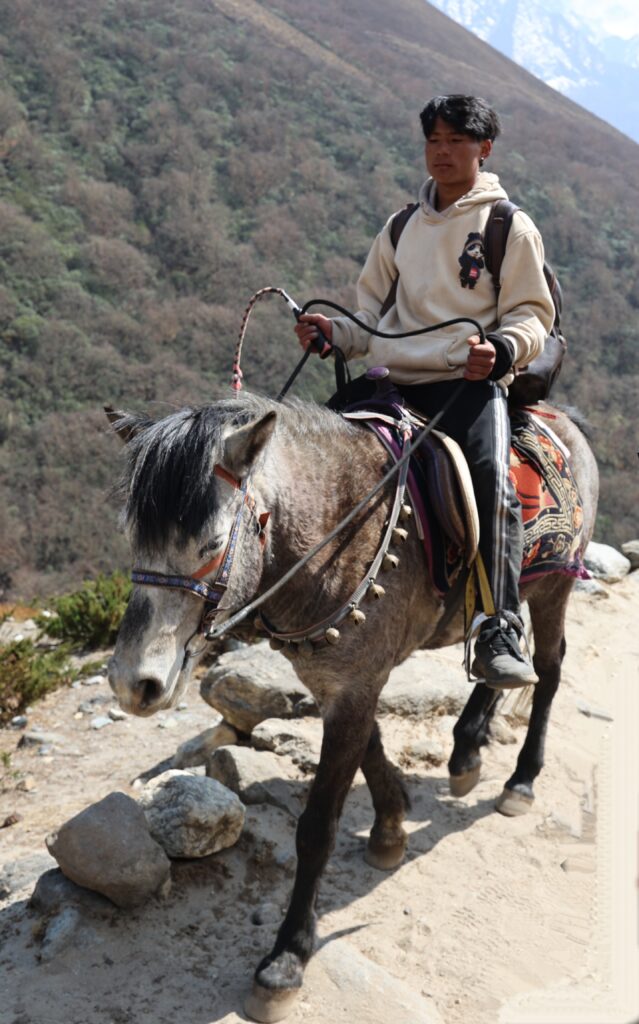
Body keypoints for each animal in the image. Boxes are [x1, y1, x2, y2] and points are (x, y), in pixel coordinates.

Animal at [106, 390, 598, 1023]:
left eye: (212, 545)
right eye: (132, 538)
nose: (133, 684)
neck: (336, 531)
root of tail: (564, 420)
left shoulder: (355, 686)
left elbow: (318, 825)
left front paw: (285, 960)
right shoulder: (339, 683)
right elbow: (371, 749)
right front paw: (391, 825)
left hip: (554, 586)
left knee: (550, 669)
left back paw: (521, 780)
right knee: (503, 653)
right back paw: (466, 752)